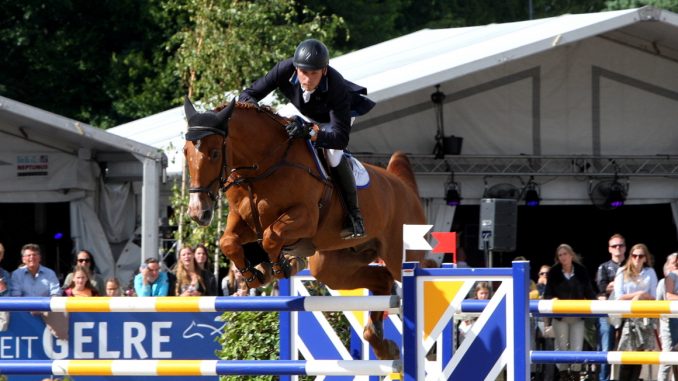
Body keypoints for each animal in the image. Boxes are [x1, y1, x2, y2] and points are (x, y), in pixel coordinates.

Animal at [181, 98, 424, 360]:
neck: (263, 165)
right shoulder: (242, 220)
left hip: (400, 252)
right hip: (333, 265)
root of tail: (404, 187)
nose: (197, 212)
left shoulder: (305, 217)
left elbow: (270, 236)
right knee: (381, 280)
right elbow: (229, 242)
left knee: (407, 272)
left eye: (215, 153)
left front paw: (281, 267)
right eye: (185, 152)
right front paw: (256, 273)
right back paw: (384, 346)